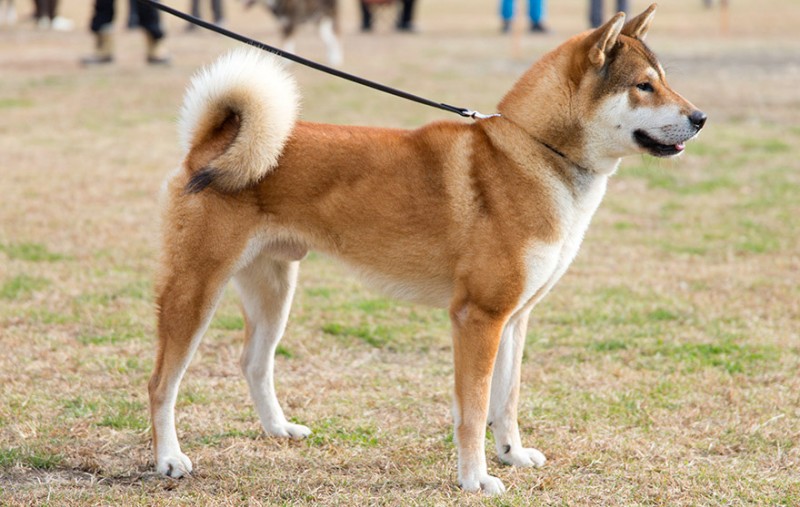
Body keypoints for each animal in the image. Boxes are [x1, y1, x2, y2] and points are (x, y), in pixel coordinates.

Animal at [150, 4, 708, 496]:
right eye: (643, 86)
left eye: (663, 79)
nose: (701, 117)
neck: (533, 154)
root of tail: (210, 141)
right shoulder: (477, 318)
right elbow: (474, 412)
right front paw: (477, 479)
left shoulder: (514, 318)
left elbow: (506, 401)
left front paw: (511, 454)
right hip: (196, 290)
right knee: (162, 383)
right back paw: (169, 459)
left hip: (274, 288)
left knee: (254, 363)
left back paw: (278, 430)